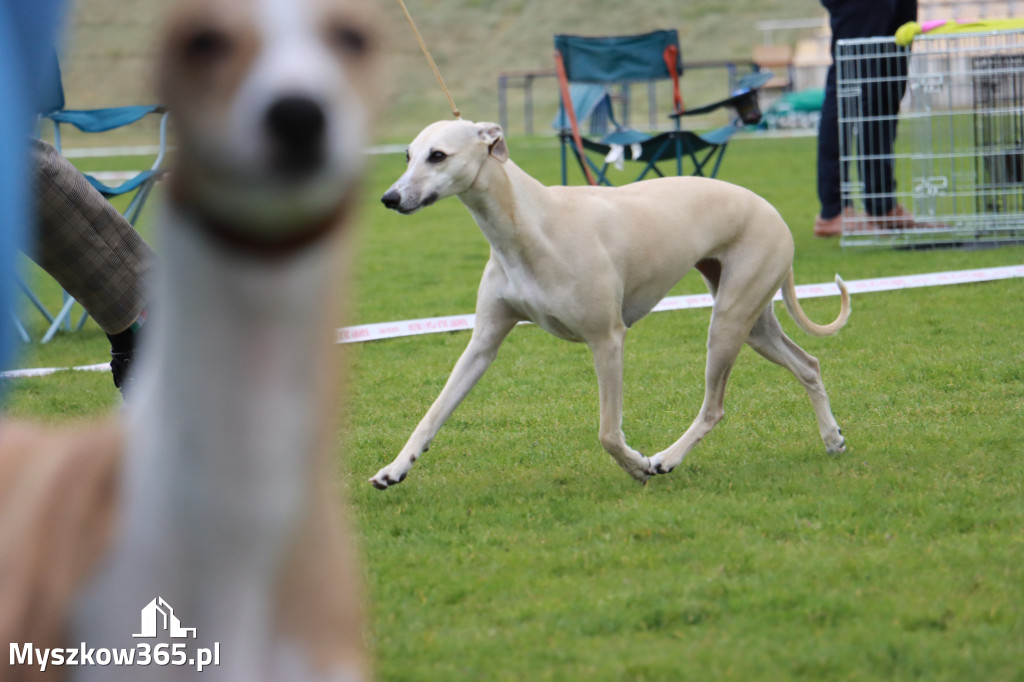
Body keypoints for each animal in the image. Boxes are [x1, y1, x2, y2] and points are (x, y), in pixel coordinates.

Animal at [372, 118, 851, 489]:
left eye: (438, 155)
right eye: (408, 156)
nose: (389, 199)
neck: (528, 224)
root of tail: (768, 209)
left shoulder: (607, 339)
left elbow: (607, 431)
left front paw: (638, 466)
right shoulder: (483, 342)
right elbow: (433, 413)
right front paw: (395, 469)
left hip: (728, 321)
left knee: (714, 407)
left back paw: (667, 458)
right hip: (752, 321)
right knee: (808, 364)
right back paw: (832, 438)